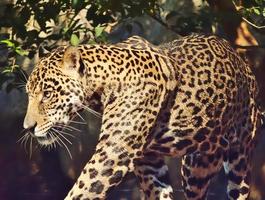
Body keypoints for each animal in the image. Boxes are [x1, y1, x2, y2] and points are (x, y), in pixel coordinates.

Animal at [22, 33, 262, 199]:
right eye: (29, 94)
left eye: (47, 94)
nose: (28, 127)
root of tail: (243, 63)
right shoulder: (149, 163)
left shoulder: (113, 153)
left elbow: (82, 190)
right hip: (198, 167)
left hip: (239, 157)